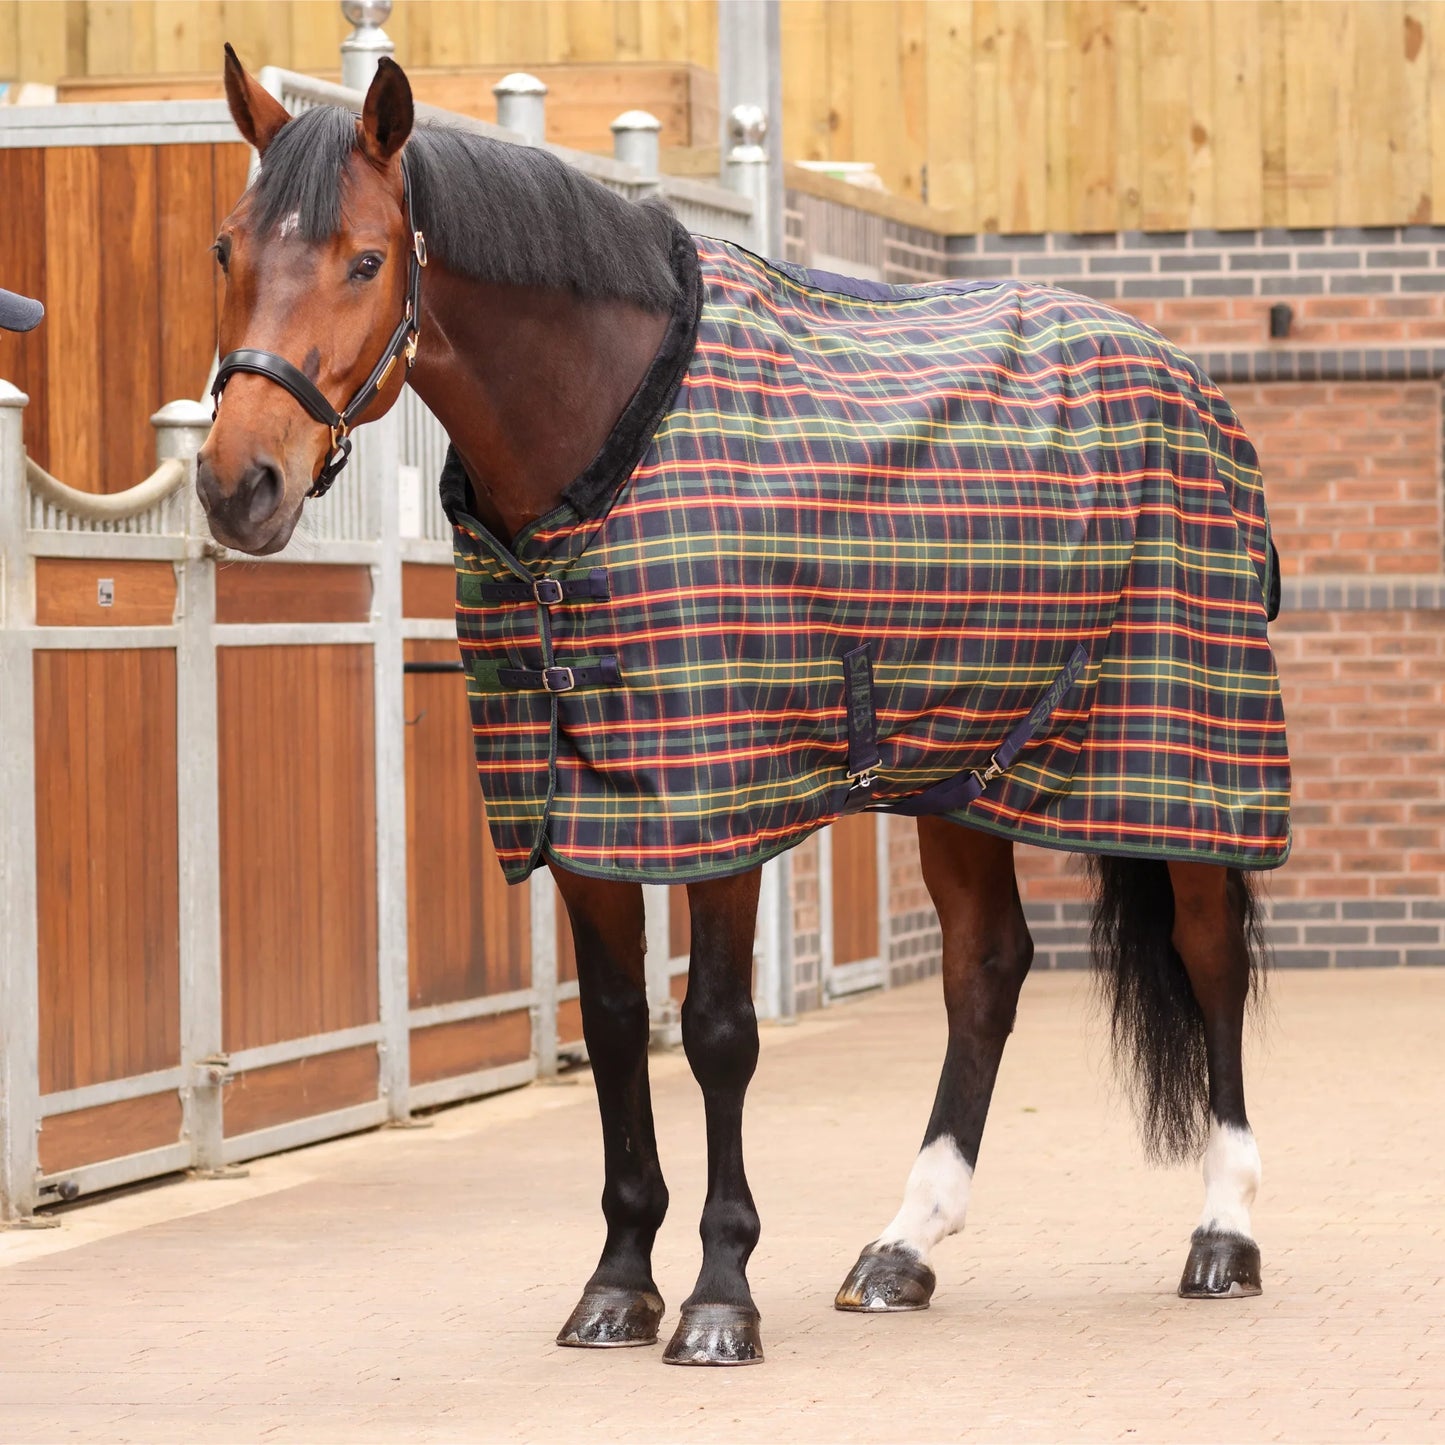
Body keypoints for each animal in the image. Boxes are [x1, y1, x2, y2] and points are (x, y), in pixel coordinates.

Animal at [198, 50, 1290, 1367]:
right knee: (984, 968)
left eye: (365, 258)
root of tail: (1176, 370)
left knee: (1206, 953)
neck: (609, 435)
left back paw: (1223, 1235)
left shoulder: (722, 804)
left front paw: (719, 1297)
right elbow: (618, 1024)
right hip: (960, 767)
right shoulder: (582, 810)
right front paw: (617, 1284)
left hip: (1185, 749)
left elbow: (716, 1028)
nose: (237, 483)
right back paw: (900, 1247)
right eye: (224, 248)